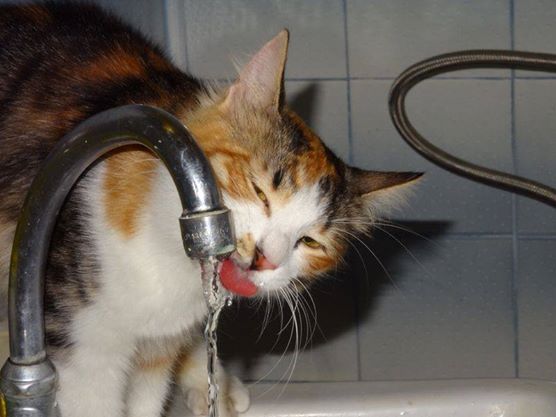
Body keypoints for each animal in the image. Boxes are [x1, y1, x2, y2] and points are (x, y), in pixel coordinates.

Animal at [0, 3, 421, 417]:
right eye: (259, 190)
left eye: (311, 242)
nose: (265, 258)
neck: (164, 259)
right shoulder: (81, 348)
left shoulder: (156, 352)